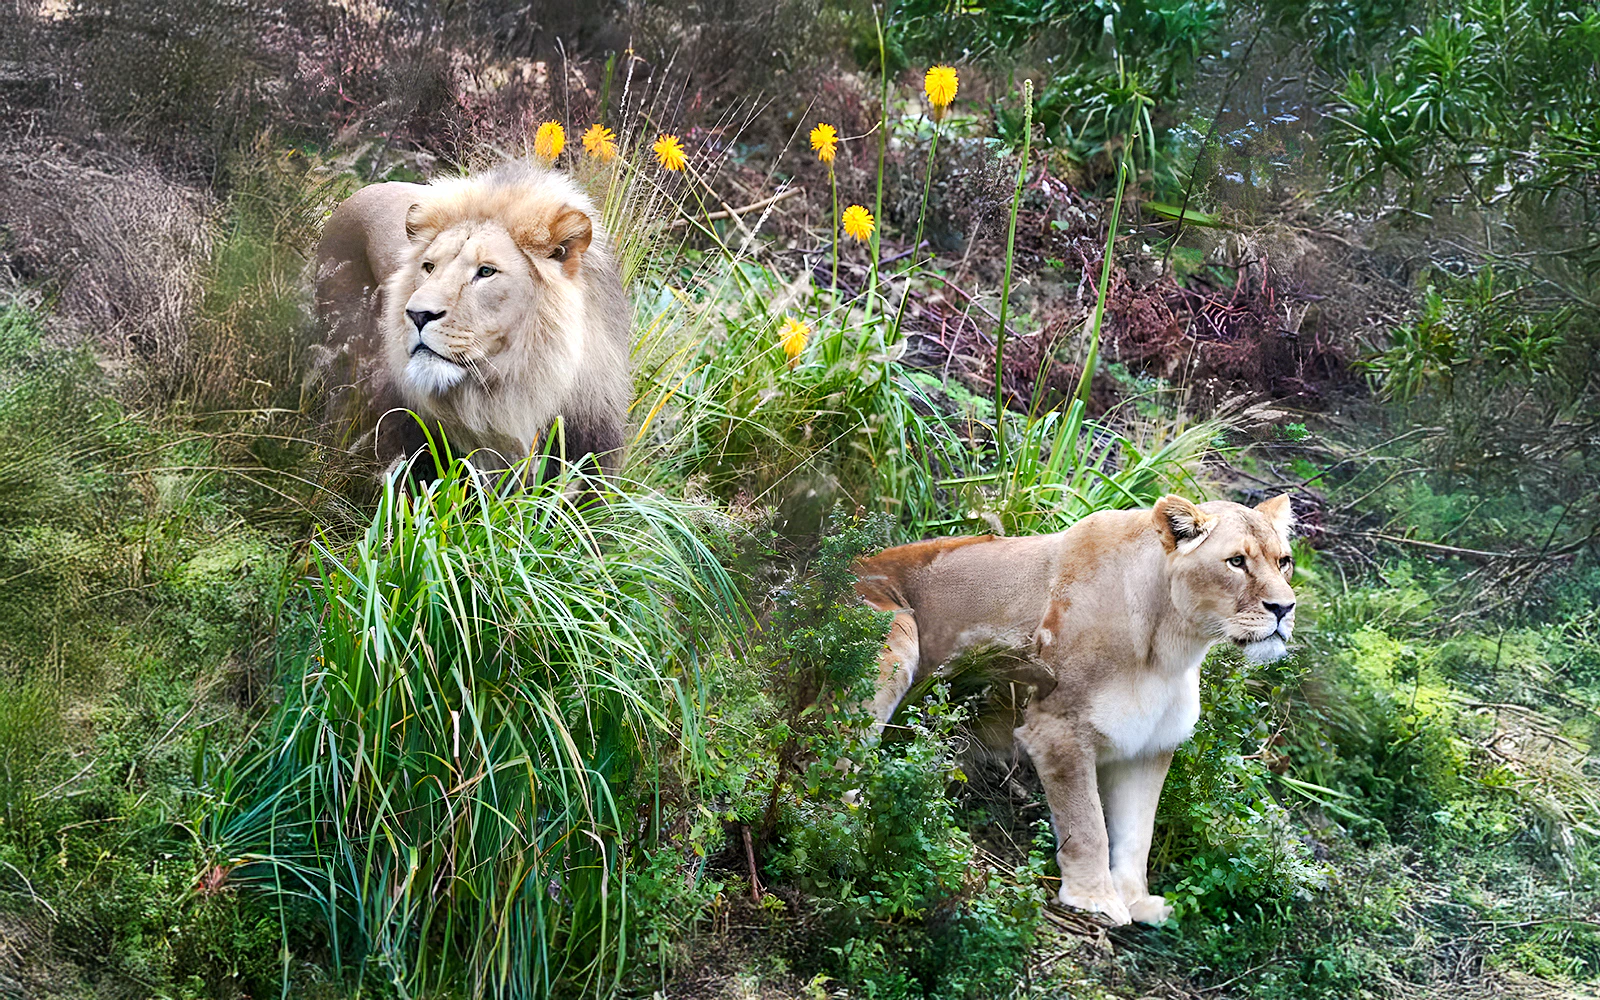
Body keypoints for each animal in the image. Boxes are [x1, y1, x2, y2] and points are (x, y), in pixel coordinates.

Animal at [853, 494, 1297, 925]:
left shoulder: (1148, 748)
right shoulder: (1058, 728)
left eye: (1284, 561)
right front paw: (1095, 900)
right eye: (1236, 561)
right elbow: (1087, 824)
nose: (1284, 608)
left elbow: (1138, 833)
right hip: (897, 634)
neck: (1170, 650)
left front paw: (1136, 901)